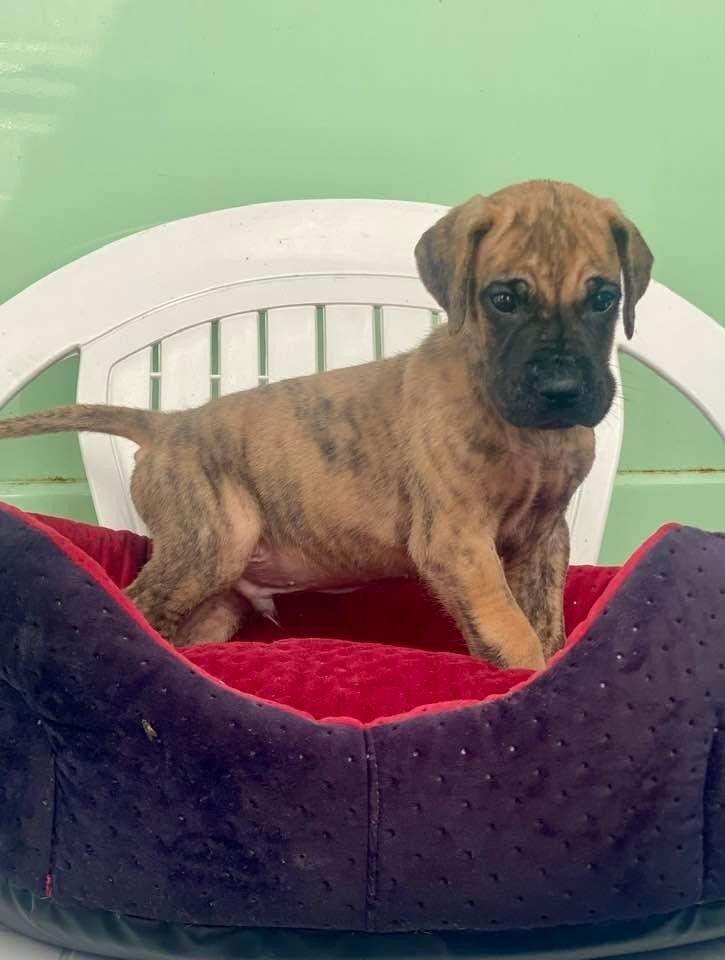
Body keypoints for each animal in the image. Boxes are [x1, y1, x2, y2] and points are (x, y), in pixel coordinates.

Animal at [0, 181, 653, 670]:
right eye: (504, 300)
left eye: (603, 298)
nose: (562, 391)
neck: (531, 436)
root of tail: (168, 425)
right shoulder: (459, 542)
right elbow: (511, 631)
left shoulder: (543, 536)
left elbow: (544, 622)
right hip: (210, 543)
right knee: (134, 604)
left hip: (217, 595)